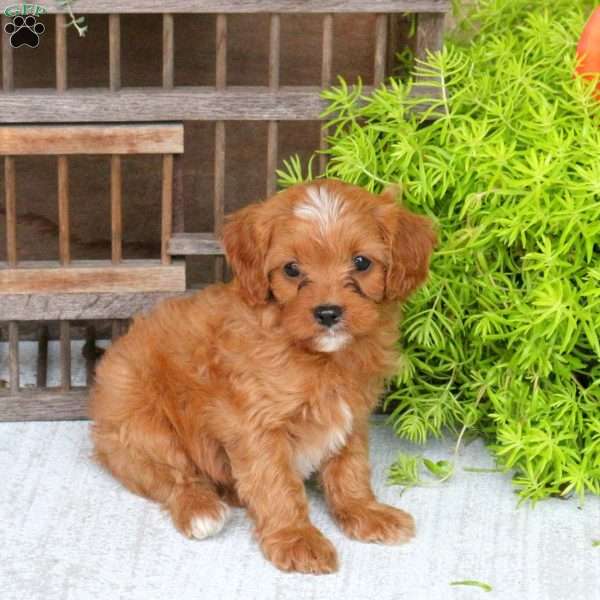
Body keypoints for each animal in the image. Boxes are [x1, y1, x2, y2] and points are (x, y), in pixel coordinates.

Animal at [89, 180, 436, 576]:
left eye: (361, 262)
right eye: (291, 269)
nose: (328, 313)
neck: (320, 357)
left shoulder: (352, 417)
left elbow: (350, 469)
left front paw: (365, 512)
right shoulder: (256, 426)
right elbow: (276, 485)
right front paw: (296, 539)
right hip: (141, 426)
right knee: (173, 475)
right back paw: (201, 508)